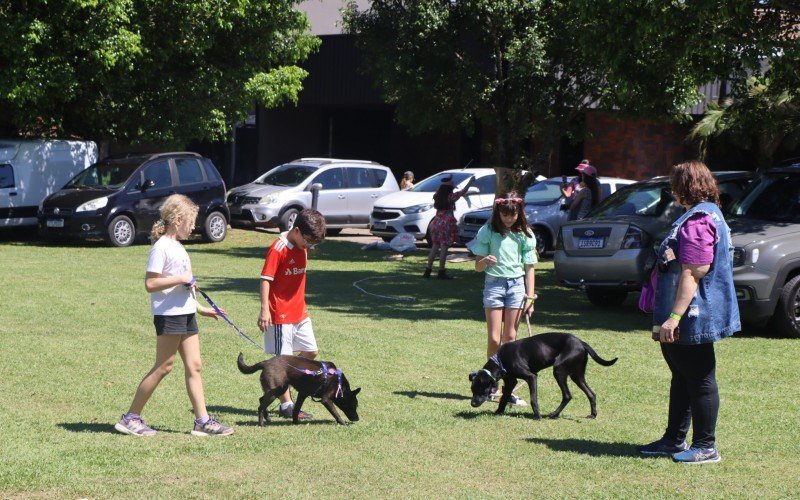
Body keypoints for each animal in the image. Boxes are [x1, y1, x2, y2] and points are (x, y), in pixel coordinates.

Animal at [468, 334, 620, 420]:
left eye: (481, 390)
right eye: (472, 390)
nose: (472, 404)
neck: (500, 361)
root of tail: (581, 342)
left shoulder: (531, 377)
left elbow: (533, 399)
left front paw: (537, 416)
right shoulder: (511, 381)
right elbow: (504, 397)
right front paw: (498, 412)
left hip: (559, 370)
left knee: (567, 395)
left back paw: (554, 415)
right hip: (577, 375)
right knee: (591, 394)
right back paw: (593, 415)